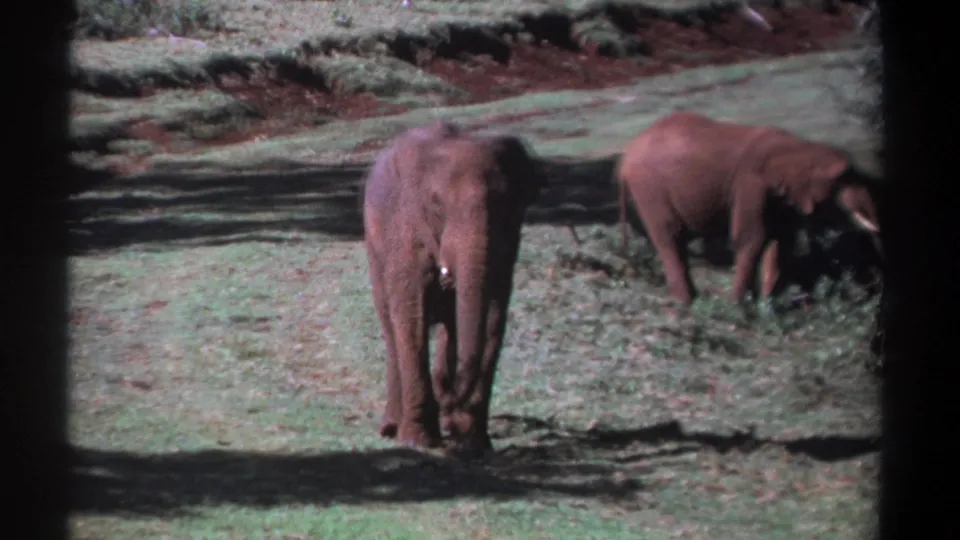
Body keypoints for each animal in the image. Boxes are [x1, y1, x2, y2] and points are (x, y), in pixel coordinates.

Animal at [362, 120, 544, 457]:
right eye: (436, 206)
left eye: (507, 206)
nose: (446, 388)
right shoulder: (405, 231)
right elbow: (411, 315)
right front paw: (417, 442)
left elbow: (494, 318)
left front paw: (474, 444)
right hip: (374, 250)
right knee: (391, 328)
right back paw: (392, 427)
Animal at [616, 111, 882, 305]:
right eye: (843, 178)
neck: (799, 148)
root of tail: (627, 153)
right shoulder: (751, 184)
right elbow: (752, 237)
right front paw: (740, 307)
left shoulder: (781, 197)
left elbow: (781, 241)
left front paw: (768, 304)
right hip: (649, 187)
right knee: (670, 236)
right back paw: (686, 303)